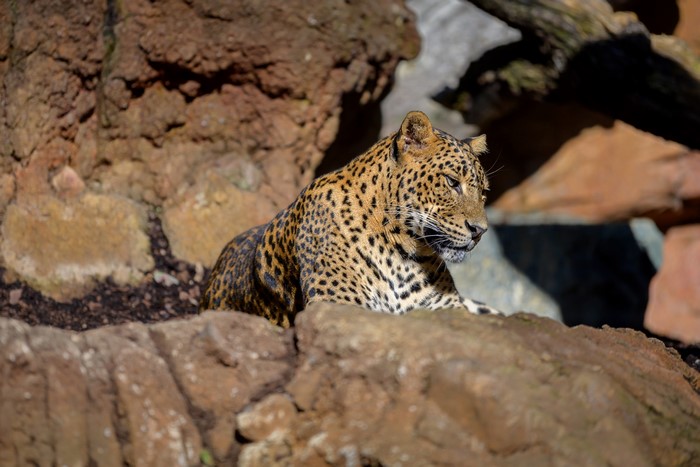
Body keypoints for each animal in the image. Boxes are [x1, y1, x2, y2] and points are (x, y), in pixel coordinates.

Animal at [199, 110, 500, 327]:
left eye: (484, 192)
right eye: (452, 182)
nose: (480, 231)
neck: (403, 254)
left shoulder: (446, 308)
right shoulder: (337, 304)